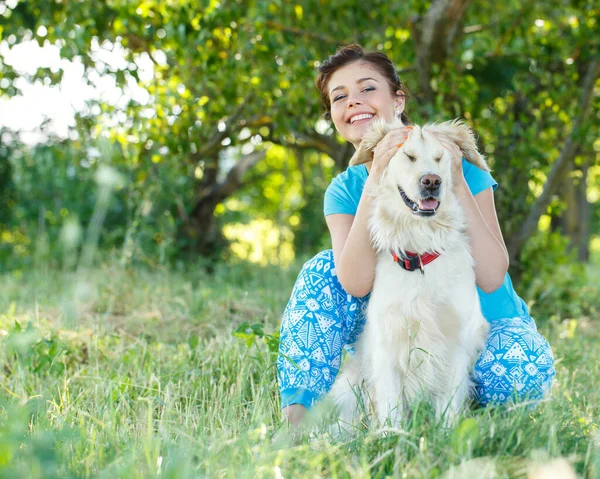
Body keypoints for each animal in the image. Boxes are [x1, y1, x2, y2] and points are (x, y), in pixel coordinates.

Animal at [328, 119, 492, 432]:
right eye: (409, 156)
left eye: (440, 158)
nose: (432, 181)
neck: (421, 253)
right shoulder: (387, 343)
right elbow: (390, 404)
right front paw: (391, 435)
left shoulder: (454, 343)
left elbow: (449, 405)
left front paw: (447, 434)